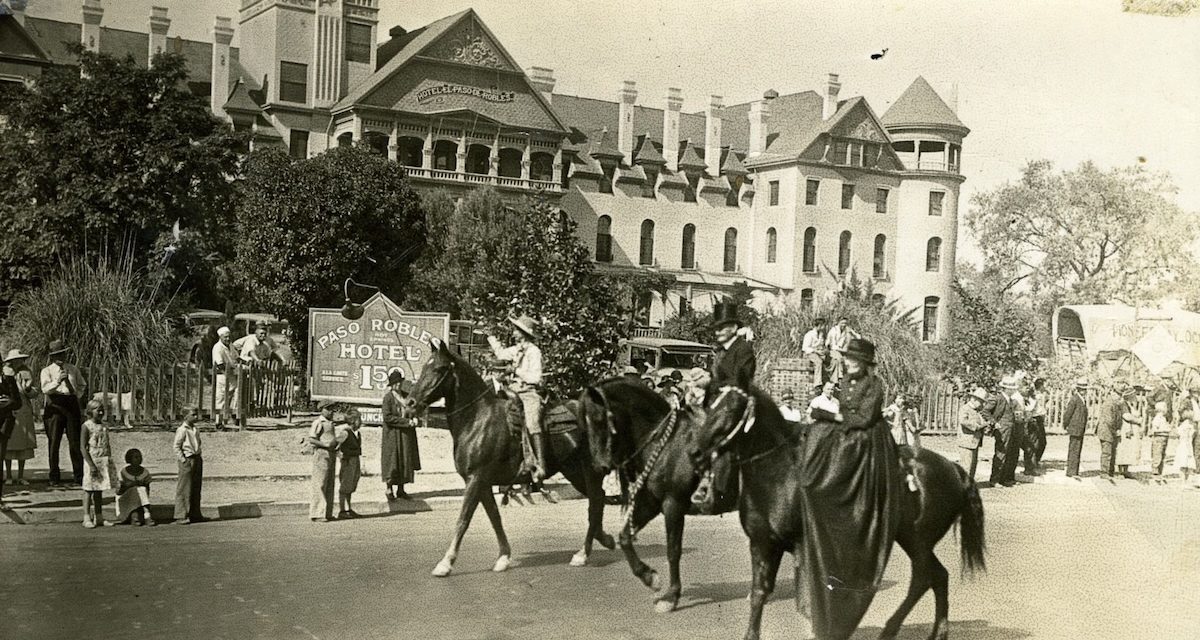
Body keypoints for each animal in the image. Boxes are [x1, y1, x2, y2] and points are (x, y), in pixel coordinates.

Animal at [408, 336, 614, 576]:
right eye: (425, 367)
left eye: (439, 369)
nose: (410, 403)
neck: (477, 420)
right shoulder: (482, 483)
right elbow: (495, 517)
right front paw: (504, 557)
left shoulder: (475, 479)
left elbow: (463, 520)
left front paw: (445, 563)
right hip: (574, 471)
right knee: (597, 500)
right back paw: (603, 540)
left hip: (589, 470)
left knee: (596, 501)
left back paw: (583, 553)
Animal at [580, 377, 710, 612]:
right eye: (584, 424)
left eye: (600, 419)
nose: (599, 466)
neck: (668, 445)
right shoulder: (651, 503)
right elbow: (624, 538)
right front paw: (649, 577)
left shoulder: (673, 505)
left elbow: (673, 550)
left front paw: (671, 596)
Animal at [691, 379, 979, 638]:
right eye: (708, 403)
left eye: (731, 409)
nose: (696, 451)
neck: (781, 473)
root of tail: (955, 469)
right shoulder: (763, 543)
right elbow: (759, 593)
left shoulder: (804, 547)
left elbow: (810, 603)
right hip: (912, 539)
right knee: (936, 576)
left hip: (917, 539)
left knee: (925, 577)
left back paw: (897, 630)